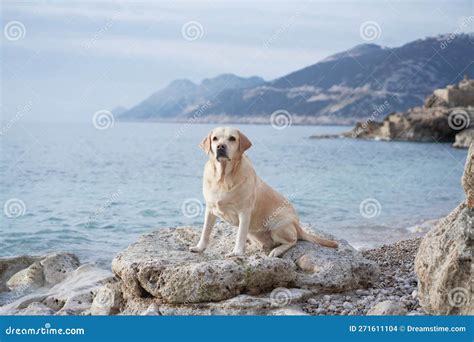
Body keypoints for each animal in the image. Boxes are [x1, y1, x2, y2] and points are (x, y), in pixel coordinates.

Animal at [189, 126, 336, 256]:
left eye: (232, 138)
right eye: (215, 139)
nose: (220, 146)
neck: (223, 178)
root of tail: (298, 226)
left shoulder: (244, 212)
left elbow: (240, 235)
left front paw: (237, 252)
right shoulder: (210, 209)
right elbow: (205, 231)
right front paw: (199, 247)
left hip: (278, 225)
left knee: (293, 241)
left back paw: (277, 251)